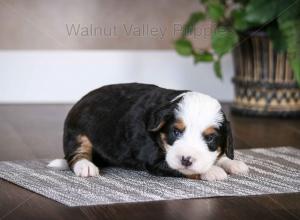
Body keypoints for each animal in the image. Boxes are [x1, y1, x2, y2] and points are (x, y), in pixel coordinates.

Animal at [48, 82, 247, 180]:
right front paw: (213, 171)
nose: (186, 159)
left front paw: (232, 163)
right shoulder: (155, 159)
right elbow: (185, 170)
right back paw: (86, 167)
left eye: (210, 138)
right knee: (76, 154)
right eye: (176, 132)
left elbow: (216, 157)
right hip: (77, 133)